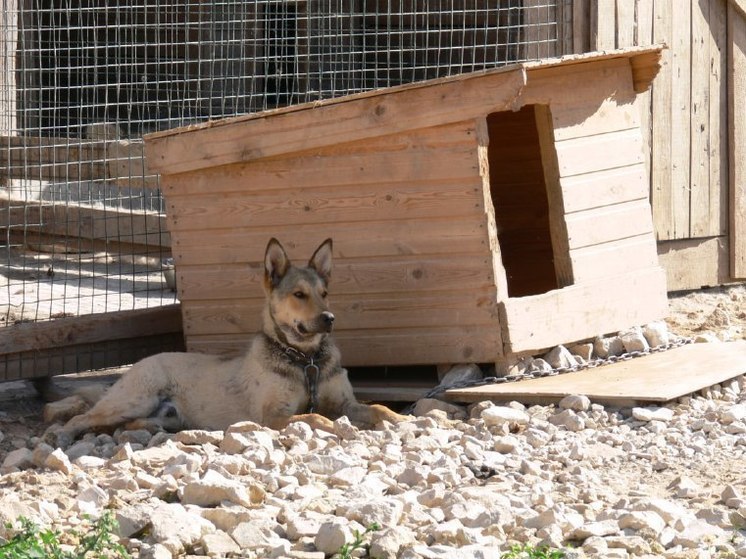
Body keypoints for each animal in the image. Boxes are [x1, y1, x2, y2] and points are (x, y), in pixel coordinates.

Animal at [46, 238, 404, 448]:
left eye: (324, 293)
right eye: (299, 294)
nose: (329, 318)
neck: (305, 359)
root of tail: (142, 362)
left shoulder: (345, 402)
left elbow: (378, 408)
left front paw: (404, 420)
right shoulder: (272, 417)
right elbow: (315, 418)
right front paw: (337, 427)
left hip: (163, 415)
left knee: (132, 424)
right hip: (134, 399)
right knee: (84, 417)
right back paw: (62, 433)